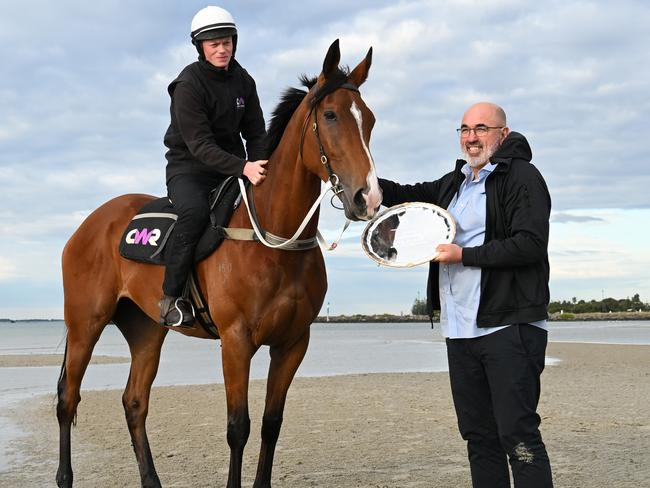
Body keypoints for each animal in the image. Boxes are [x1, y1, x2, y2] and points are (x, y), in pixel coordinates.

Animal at [57, 39, 380, 488]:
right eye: (330, 115)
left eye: (369, 120)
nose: (368, 197)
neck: (274, 241)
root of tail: (88, 225)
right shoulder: (236, 341)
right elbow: (238, 428)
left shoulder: (293, 343)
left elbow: (271, 424)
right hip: (85, 323)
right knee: (68, 400)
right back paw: (65, 476)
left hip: (145, 331)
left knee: (135, 402)